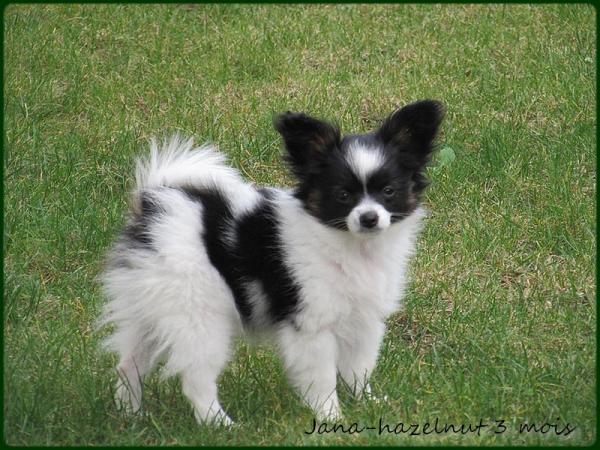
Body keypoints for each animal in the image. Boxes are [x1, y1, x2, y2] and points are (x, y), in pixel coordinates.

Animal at [99, 100, 445, 425]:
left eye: (389, 191)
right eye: (343, 195)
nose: (369, 218)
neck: (352, 247)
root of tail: (155, 207)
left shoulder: (365, 319)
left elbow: (359, 367)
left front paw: (368, 403)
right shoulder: (310, 325)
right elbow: (323, 378)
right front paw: (331, 417)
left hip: (152, 308)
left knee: (129, 364)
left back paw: (130, 414)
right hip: (198, 314)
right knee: (196, 379)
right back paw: (220, 424)